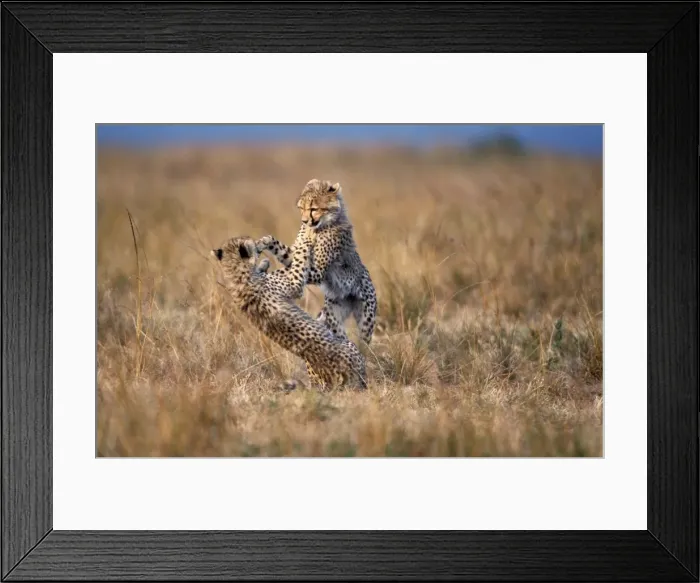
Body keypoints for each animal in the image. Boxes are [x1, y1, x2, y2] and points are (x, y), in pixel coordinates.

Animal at [211, 229, 367, 391]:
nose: (257, 246)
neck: (235, 274)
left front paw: (263, 263)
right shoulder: (294, 283)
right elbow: (297, 262)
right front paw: (306, 240)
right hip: (352, 349)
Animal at [257, 178, 377, 347]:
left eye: (314, 209)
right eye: (301, 208)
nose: (304, 221)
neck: (321, 225)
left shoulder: (318, 271)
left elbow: (296, 264)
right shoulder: (295, 256)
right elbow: (289, 254)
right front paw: (264, 241)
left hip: (366, 320)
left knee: (364, 342)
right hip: (334, 314)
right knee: (339, 334)